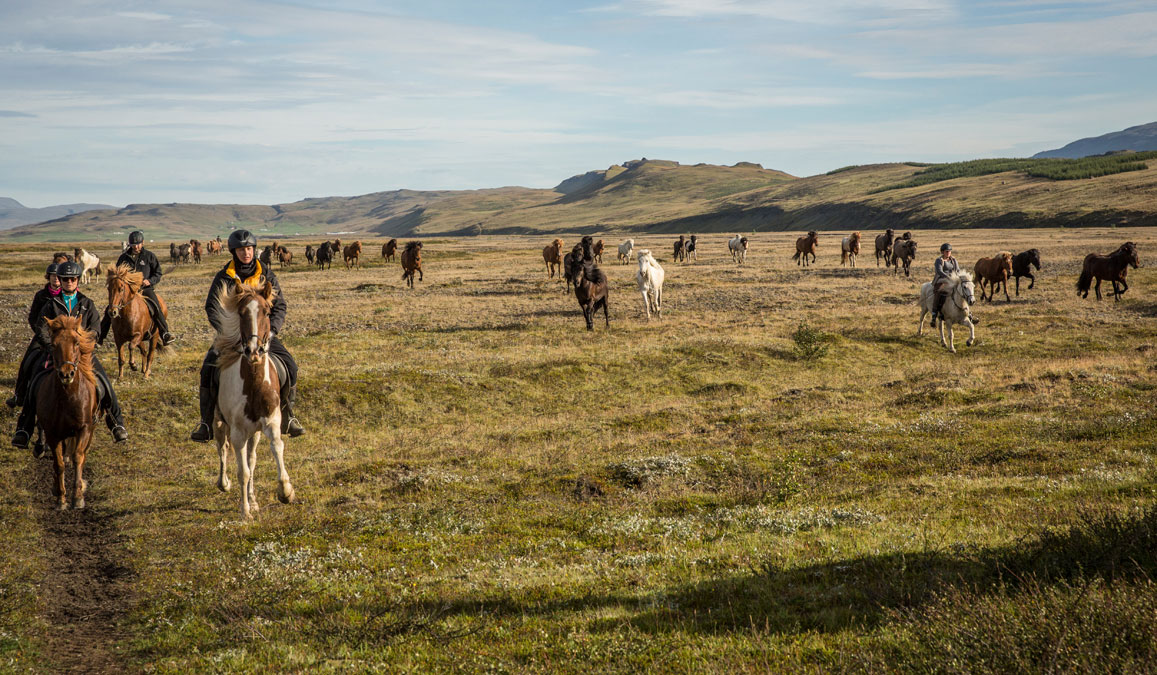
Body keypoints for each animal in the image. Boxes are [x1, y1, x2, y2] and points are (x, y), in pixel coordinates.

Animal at [37, 317, 101, 511]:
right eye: (53, 345)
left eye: (77, 342)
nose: (66, 373)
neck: (67, 397)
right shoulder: (52, 433)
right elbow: (58, 464)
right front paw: (61, 498)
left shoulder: (84, 428)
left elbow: (78, 457)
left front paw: (77, 497)